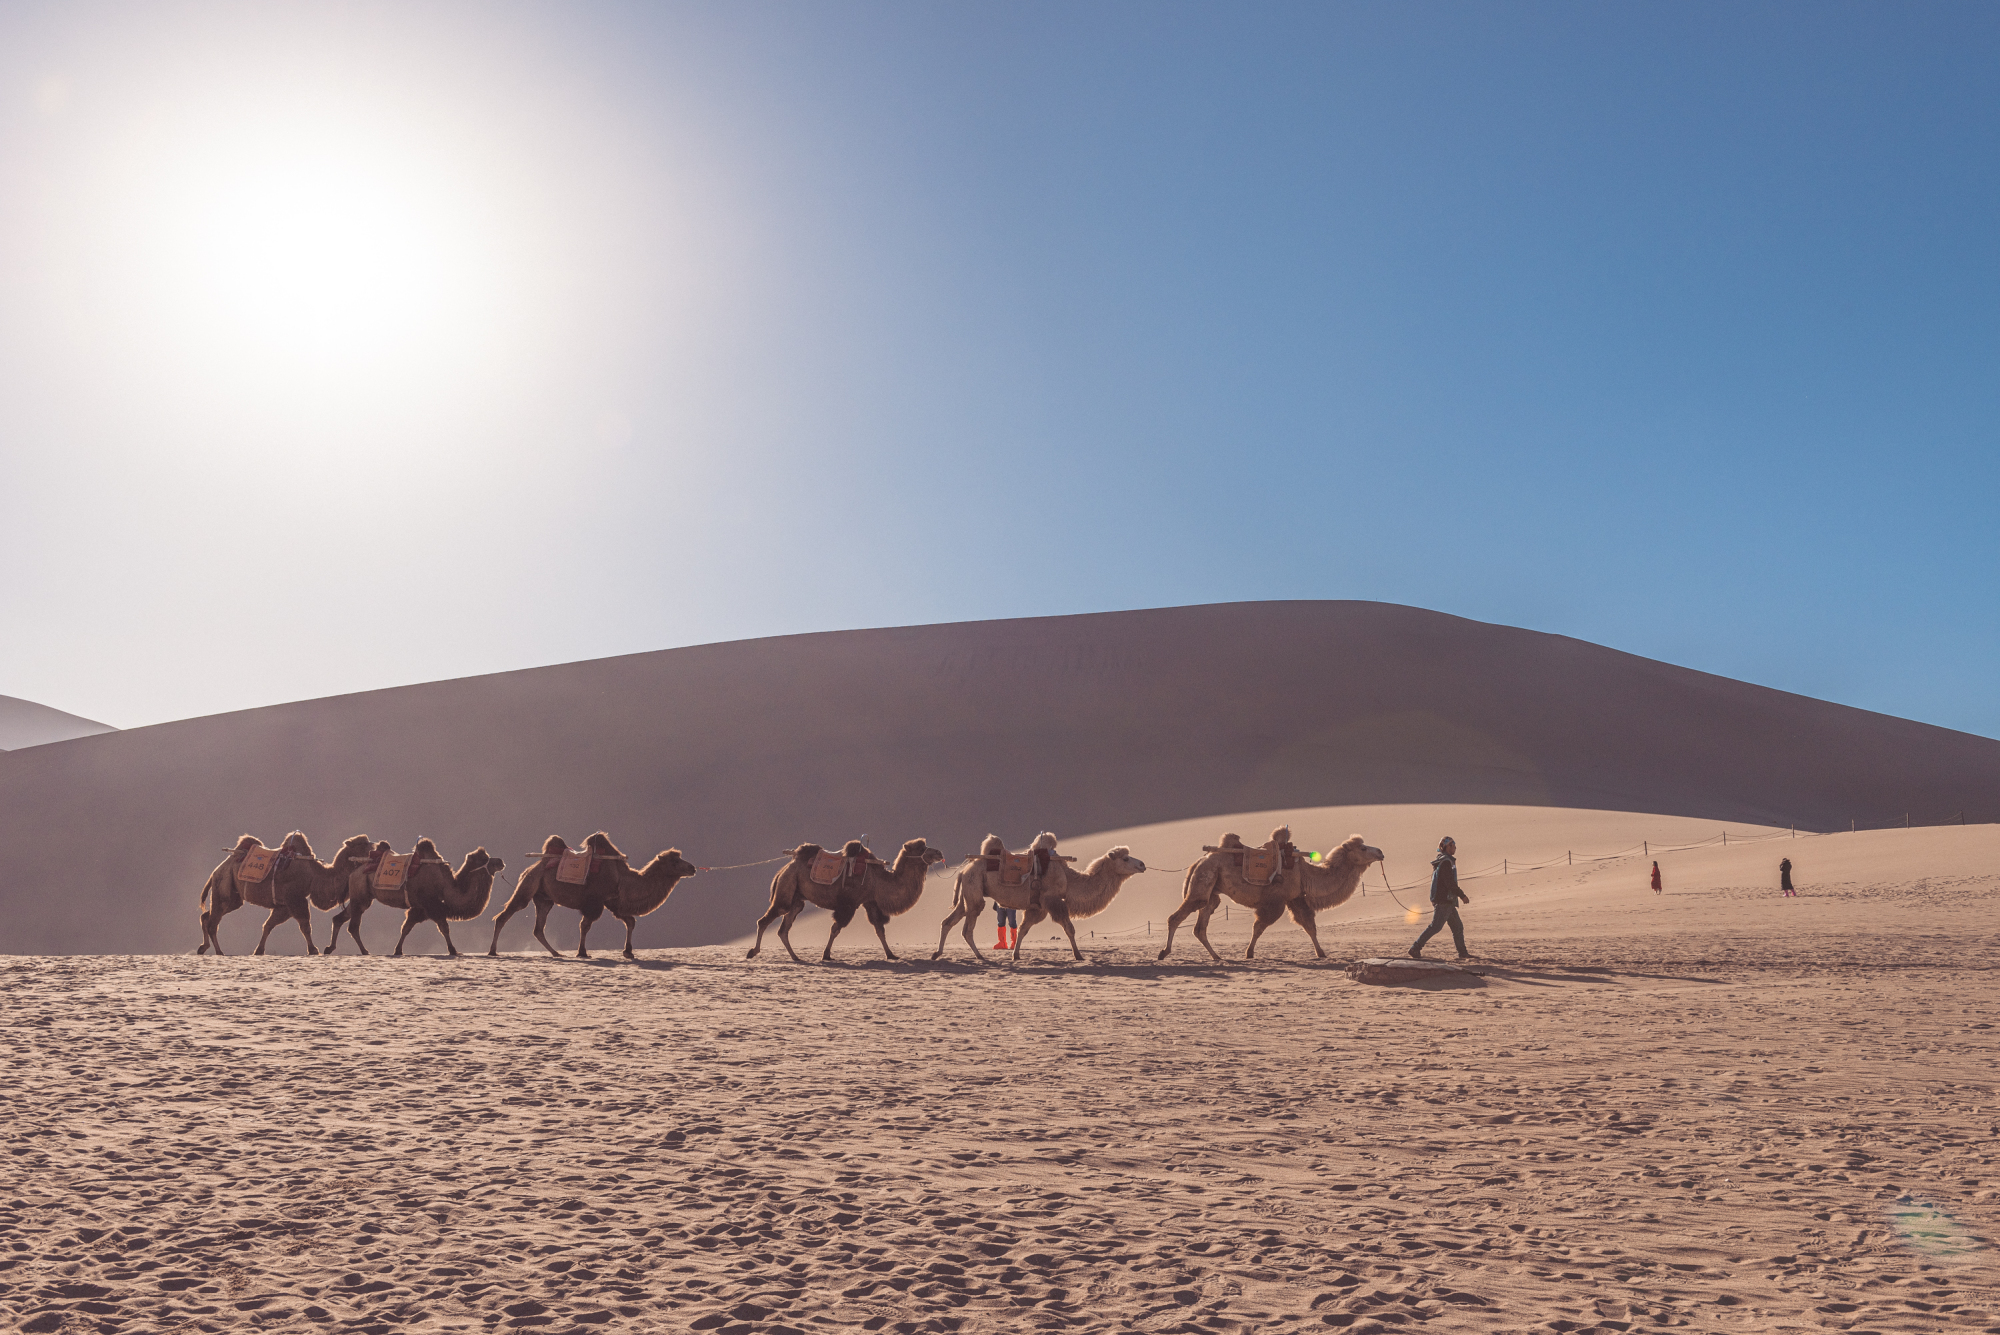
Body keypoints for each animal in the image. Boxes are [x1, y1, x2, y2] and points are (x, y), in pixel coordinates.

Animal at [201, 827, 376, 955]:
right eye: (363, 844)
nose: (374, 848)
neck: (315, 876)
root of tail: (215, 871)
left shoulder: (284, 905)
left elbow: (268, 925)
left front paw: (259, 950)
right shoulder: (295, 898)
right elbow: (305, 925)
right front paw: (313, 950)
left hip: (234, 897)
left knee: (208, 915)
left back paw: (203, 948)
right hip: (223, 884)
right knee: (213, 921)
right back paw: (219, 951)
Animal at [486, 835, 700, 959]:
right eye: (675, 861)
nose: (693, 868)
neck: (622, 879)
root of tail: (531, 868)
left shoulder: (613, 902)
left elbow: (630, 921)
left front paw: (628, 951)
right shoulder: (595, 902)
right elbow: (585, 925)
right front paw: (582, 953)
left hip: (544, 898)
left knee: (538, 928)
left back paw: (556, 953)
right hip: (528, 886)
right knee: (504, 915)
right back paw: (493, 950)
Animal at [748, 835, 948, 959]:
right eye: (921, 848)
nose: (939, 853)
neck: (878, 879)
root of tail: (785, 868)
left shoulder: (870, 902)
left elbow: (879, 929)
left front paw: (891, 955)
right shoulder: (849, 904)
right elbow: (836, 929)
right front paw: (826, 955)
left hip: (797, 898)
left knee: (784, 928)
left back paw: (796, 957)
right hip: (787, 887)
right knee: (766, 920)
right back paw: (753, 951)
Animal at [932, 835, 1152, 959]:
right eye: (1125, 858)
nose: (1142, 864)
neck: (1069, 880)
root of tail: (963, 870)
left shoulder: (1037, 907)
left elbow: (1023, 929)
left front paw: (1016, 955)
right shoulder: (1053, 900)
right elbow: (1069, 929)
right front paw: (1079, 955)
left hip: (967, 893)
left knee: (948, 921)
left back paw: (938, 953)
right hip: (974, 890)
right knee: (967, 929)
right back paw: (980, 956)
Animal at [1160, 823, 1392, 959]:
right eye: (1363, 848)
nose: (1380, 852)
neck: (1306, 873)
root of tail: (1199, 860)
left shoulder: (1296, 898)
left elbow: (1309, 926)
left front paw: (1321, 953)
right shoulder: (1276, 900)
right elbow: (1259, 927)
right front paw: (1249, 952)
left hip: (1212, 889)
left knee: (1200, 925)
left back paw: (1217, 956)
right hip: (1204, 879)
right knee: (1178, 916)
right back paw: (1164, 952)